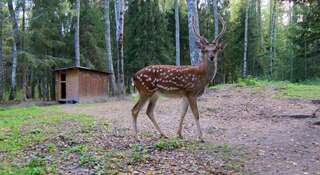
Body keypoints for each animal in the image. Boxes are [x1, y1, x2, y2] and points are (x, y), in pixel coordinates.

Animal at [131, 14, 226, 142]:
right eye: (205, 50)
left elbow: (183, 113)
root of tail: (134, 77)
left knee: (149, 111)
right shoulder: (191, 92)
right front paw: (201, 137)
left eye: (215, 50)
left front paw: (179, 134)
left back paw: (163, 134)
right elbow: (196, 114)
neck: (202, 77)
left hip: (155, 93)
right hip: (145, 90)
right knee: (135, 110)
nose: (211, 57)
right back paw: (137, 137)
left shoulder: (185, 94)